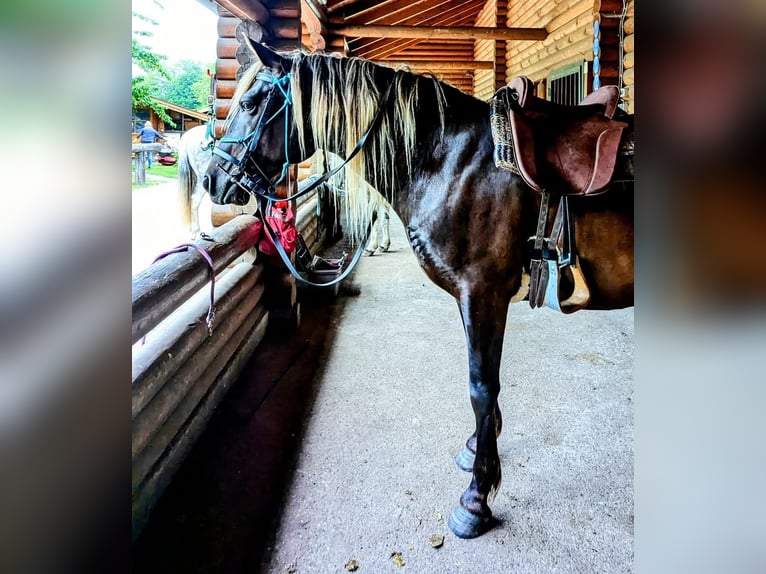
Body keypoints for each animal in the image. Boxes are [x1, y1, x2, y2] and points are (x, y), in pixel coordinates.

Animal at [202, 41, 634, 539]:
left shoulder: (482, 292)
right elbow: (485, 382)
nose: (213, 178)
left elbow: (481, 386)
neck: (452, 161)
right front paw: (477, 449)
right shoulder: (475, 299)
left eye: (251, 104)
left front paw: (476, 499)